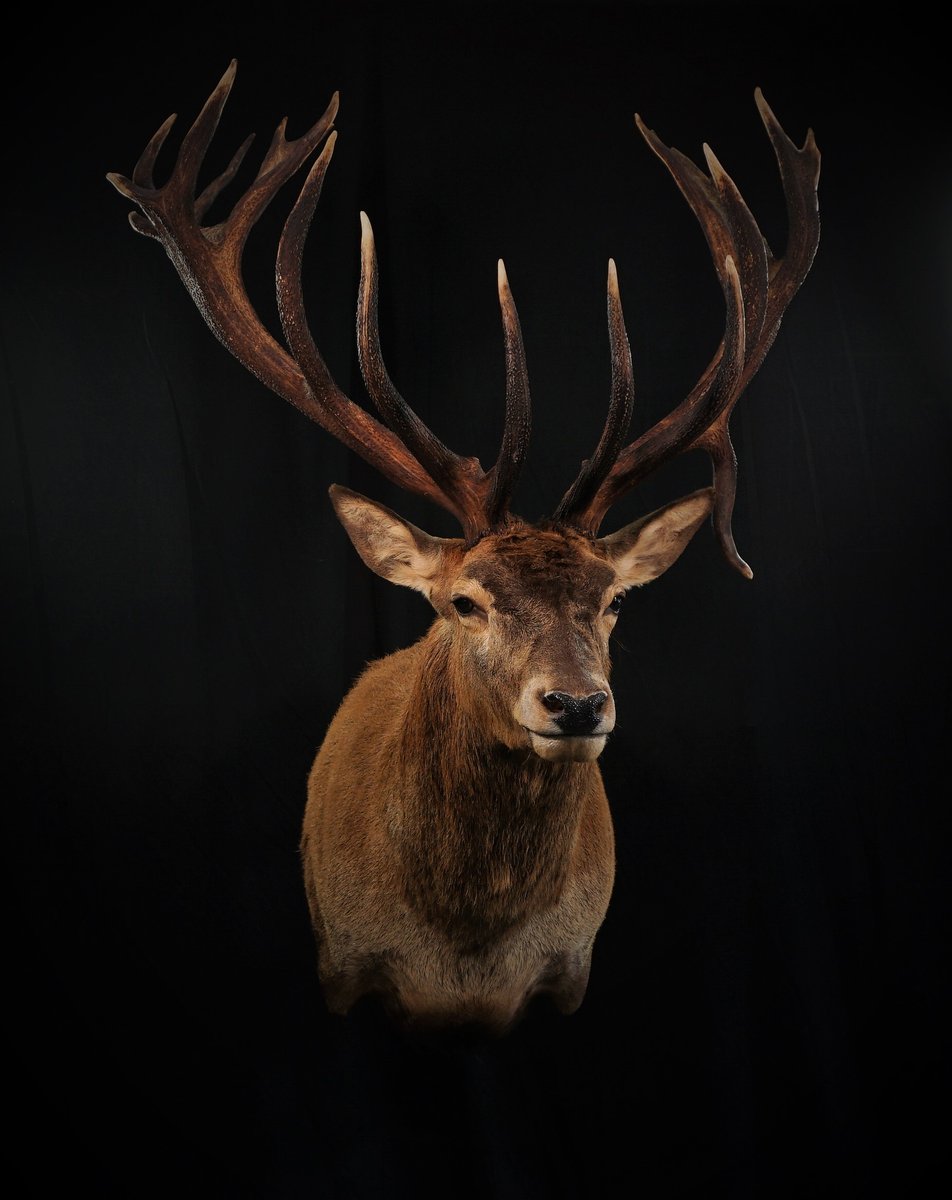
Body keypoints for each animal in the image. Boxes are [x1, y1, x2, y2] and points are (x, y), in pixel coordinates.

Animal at [108, 61, 820, 1036]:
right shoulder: (341, 959)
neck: (464, 957)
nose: (576, 704)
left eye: (614, 599)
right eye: (464, 601)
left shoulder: (572, 966)